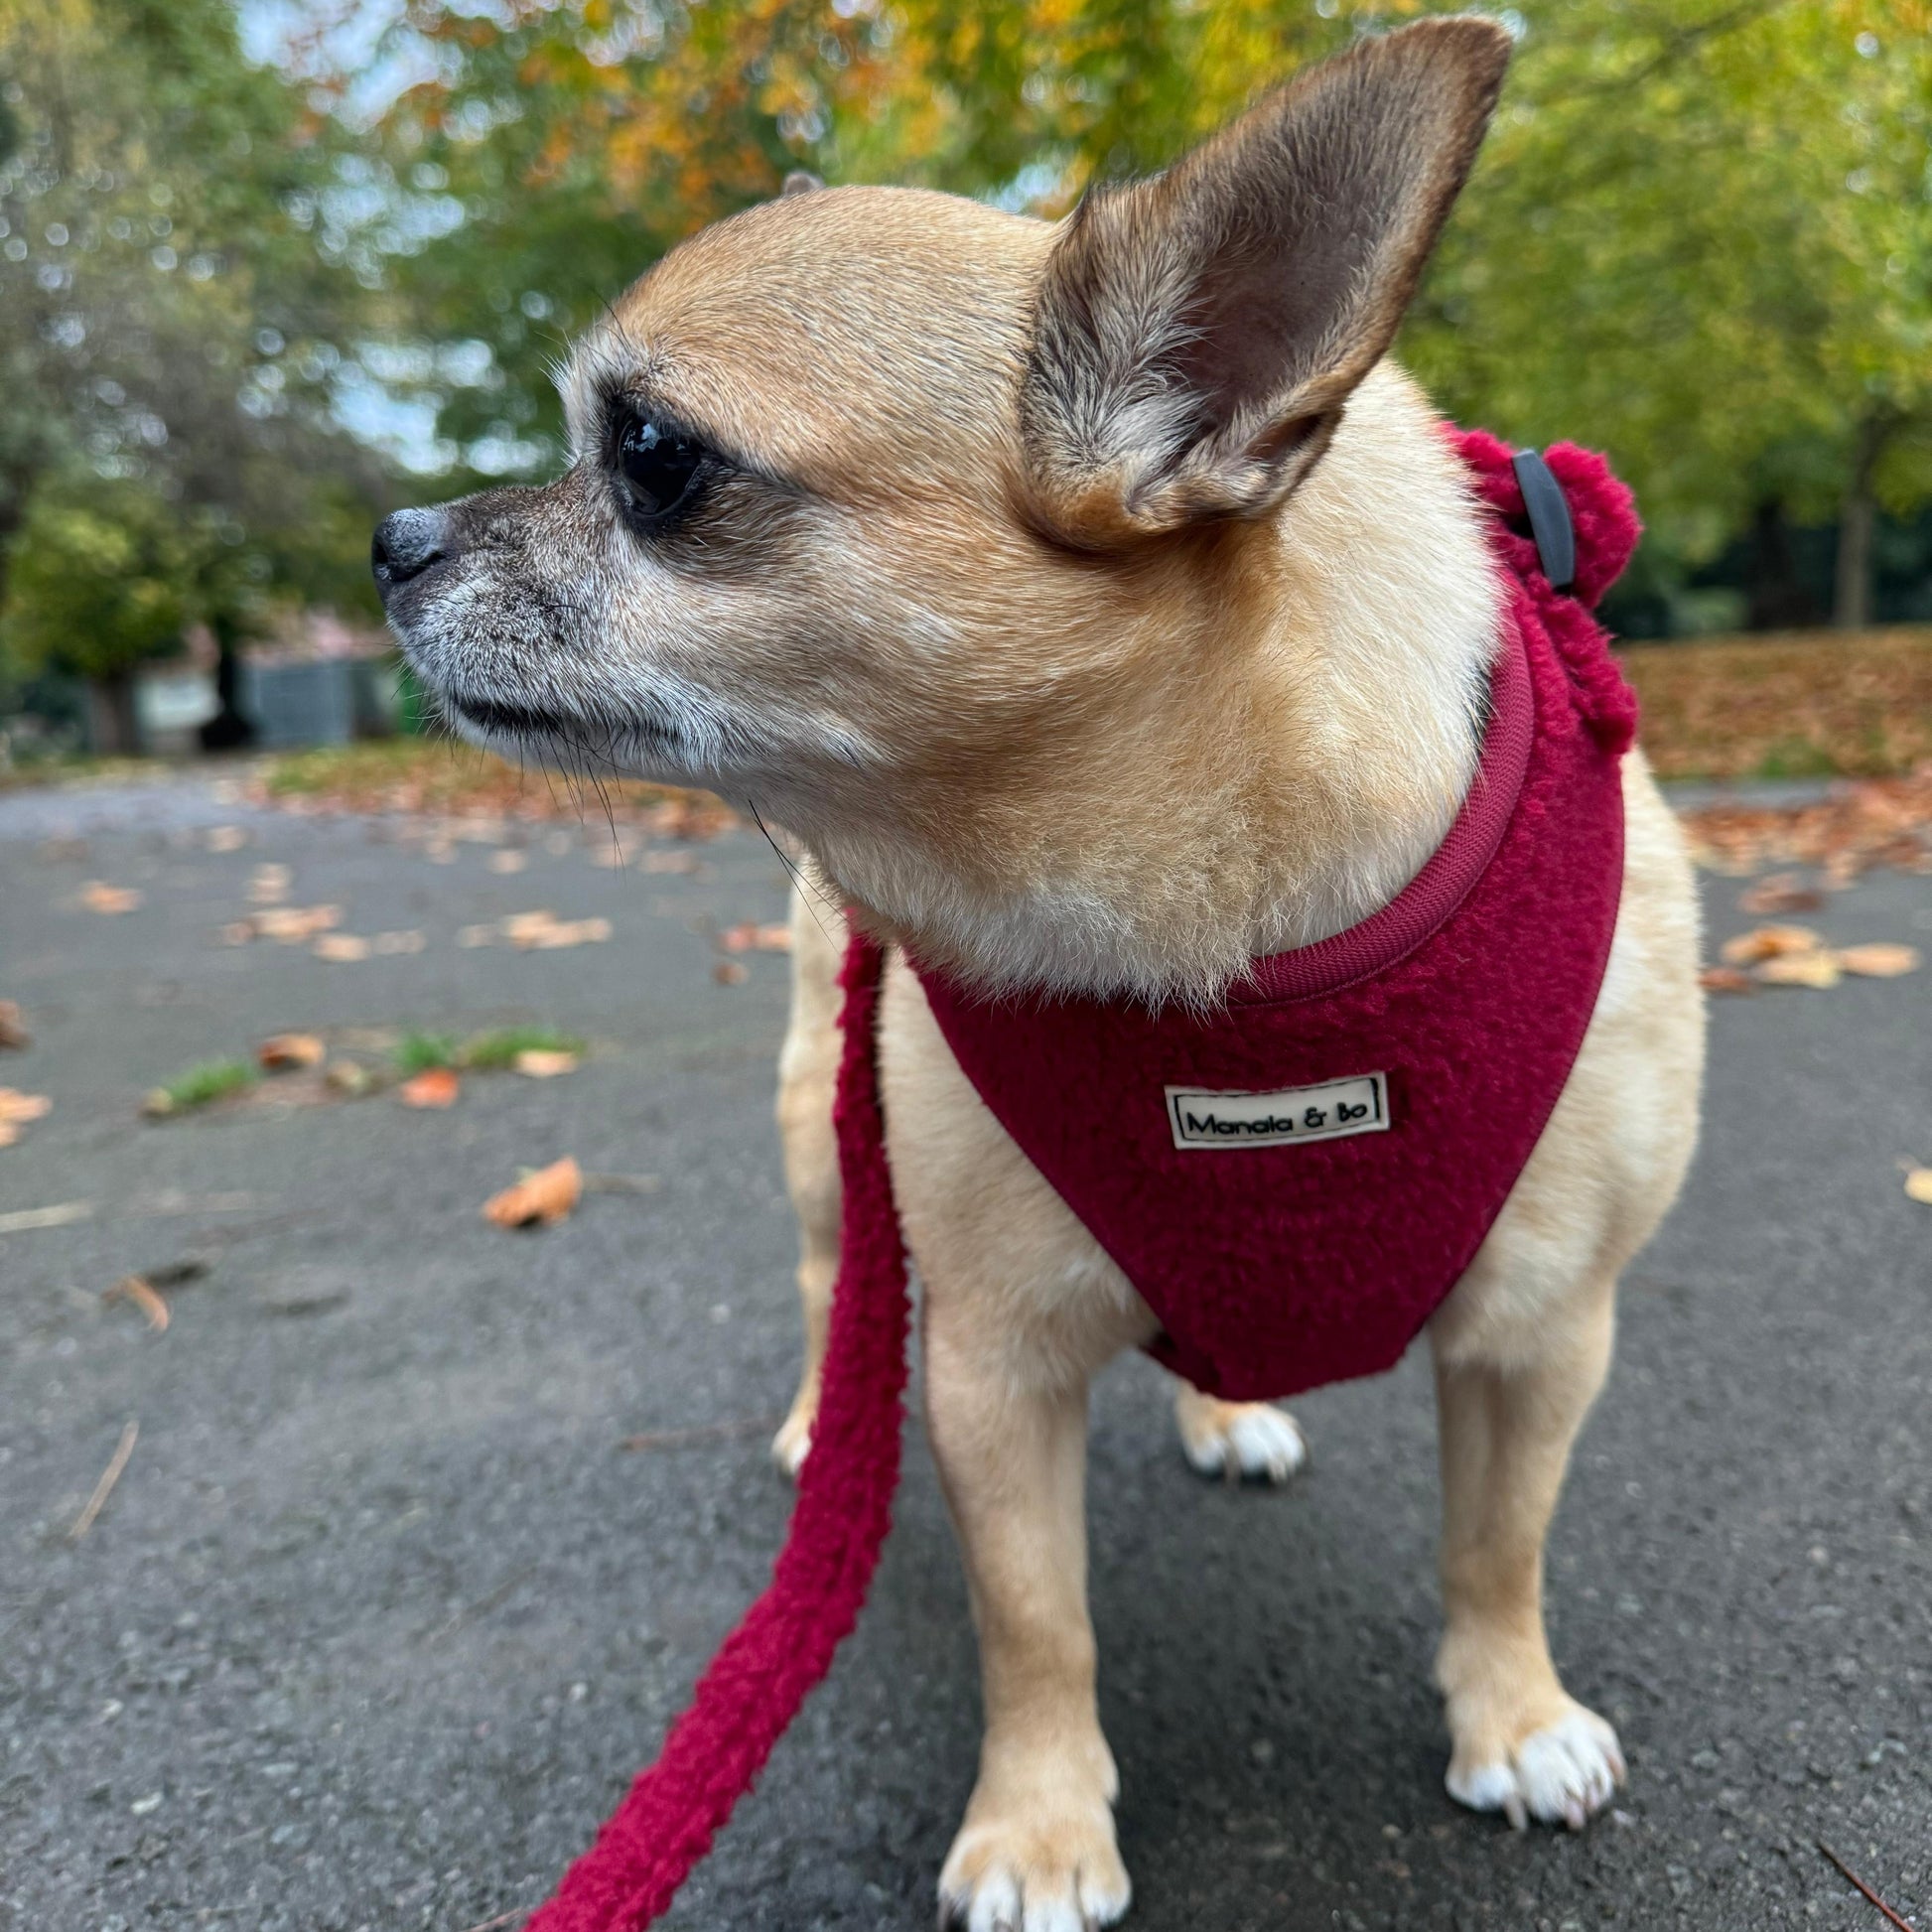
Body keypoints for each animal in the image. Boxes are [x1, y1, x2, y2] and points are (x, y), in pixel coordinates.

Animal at [368, 22, 1700, 1924]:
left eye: (655, 457)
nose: (392, 535)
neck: (1220, 946)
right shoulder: (994, 1368)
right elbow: (1036, 1621)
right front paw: (1042, 1823)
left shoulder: (1542, 1334)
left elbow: (1497, 1543)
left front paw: (1509, 1715)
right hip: (819, 1132)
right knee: (824, 1285)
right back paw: (820, 1423)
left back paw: (1230, 1399)